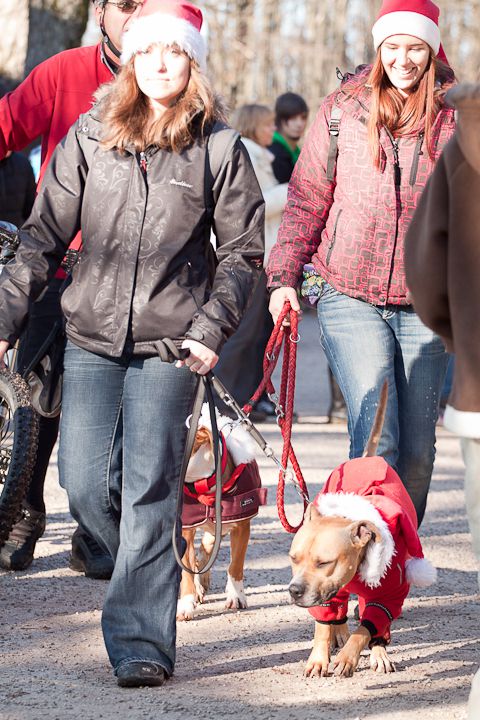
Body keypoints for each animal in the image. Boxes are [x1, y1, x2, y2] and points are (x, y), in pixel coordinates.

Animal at [176, 408, 266, 620]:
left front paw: (236, 596)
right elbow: (187, 571)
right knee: (198, 557)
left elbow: (235, 566)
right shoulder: (185, 530)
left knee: (205, 551)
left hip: (217, 531)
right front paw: (186, 604)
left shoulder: (242, 527)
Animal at [286, 386, 436, 676]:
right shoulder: (326, 595)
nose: (294, 590)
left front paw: (350, 655)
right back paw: (339, 632)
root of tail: (367, 459)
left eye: (324, 563)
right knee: (338, 611)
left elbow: (367, 627)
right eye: (293, 559)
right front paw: (319, 658)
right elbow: (323, 623)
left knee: (372, 623)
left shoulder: (389, 595)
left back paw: (378, 650)